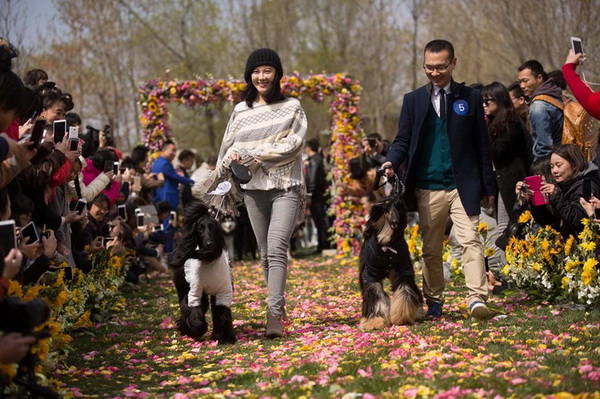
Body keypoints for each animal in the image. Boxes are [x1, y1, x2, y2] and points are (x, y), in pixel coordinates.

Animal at [169, 202, 237, 346]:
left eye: (212, 228)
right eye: (199, 229)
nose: (209, 244)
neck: (208, 259)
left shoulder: (223, 291)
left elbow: (222, 313)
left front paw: (223, 336)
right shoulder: (195, 292)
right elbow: (193, 311)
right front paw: (197, 329)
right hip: (183, 286)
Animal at [358, 191, 424, 332]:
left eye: (398, 207)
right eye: (386, 208)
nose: (395, 222)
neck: (387, 244)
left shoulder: (403, 270)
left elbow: (405, 291)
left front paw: (403, 316)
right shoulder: (370, 274)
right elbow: (375, 295)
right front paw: (374, 321)